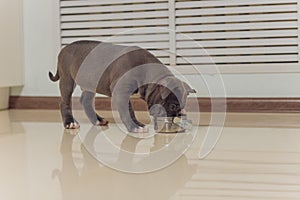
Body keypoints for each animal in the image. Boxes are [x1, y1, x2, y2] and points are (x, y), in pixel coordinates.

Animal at [48, 40, 195, 133]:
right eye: (173, 106)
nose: (172, 121)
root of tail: (64, 48)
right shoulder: (121, 91)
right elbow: (128, 110)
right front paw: (135, 126)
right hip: (67, 79)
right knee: (65, 102)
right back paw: (69, 123)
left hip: (90, 82)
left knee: (86, 101)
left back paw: (98, 120)